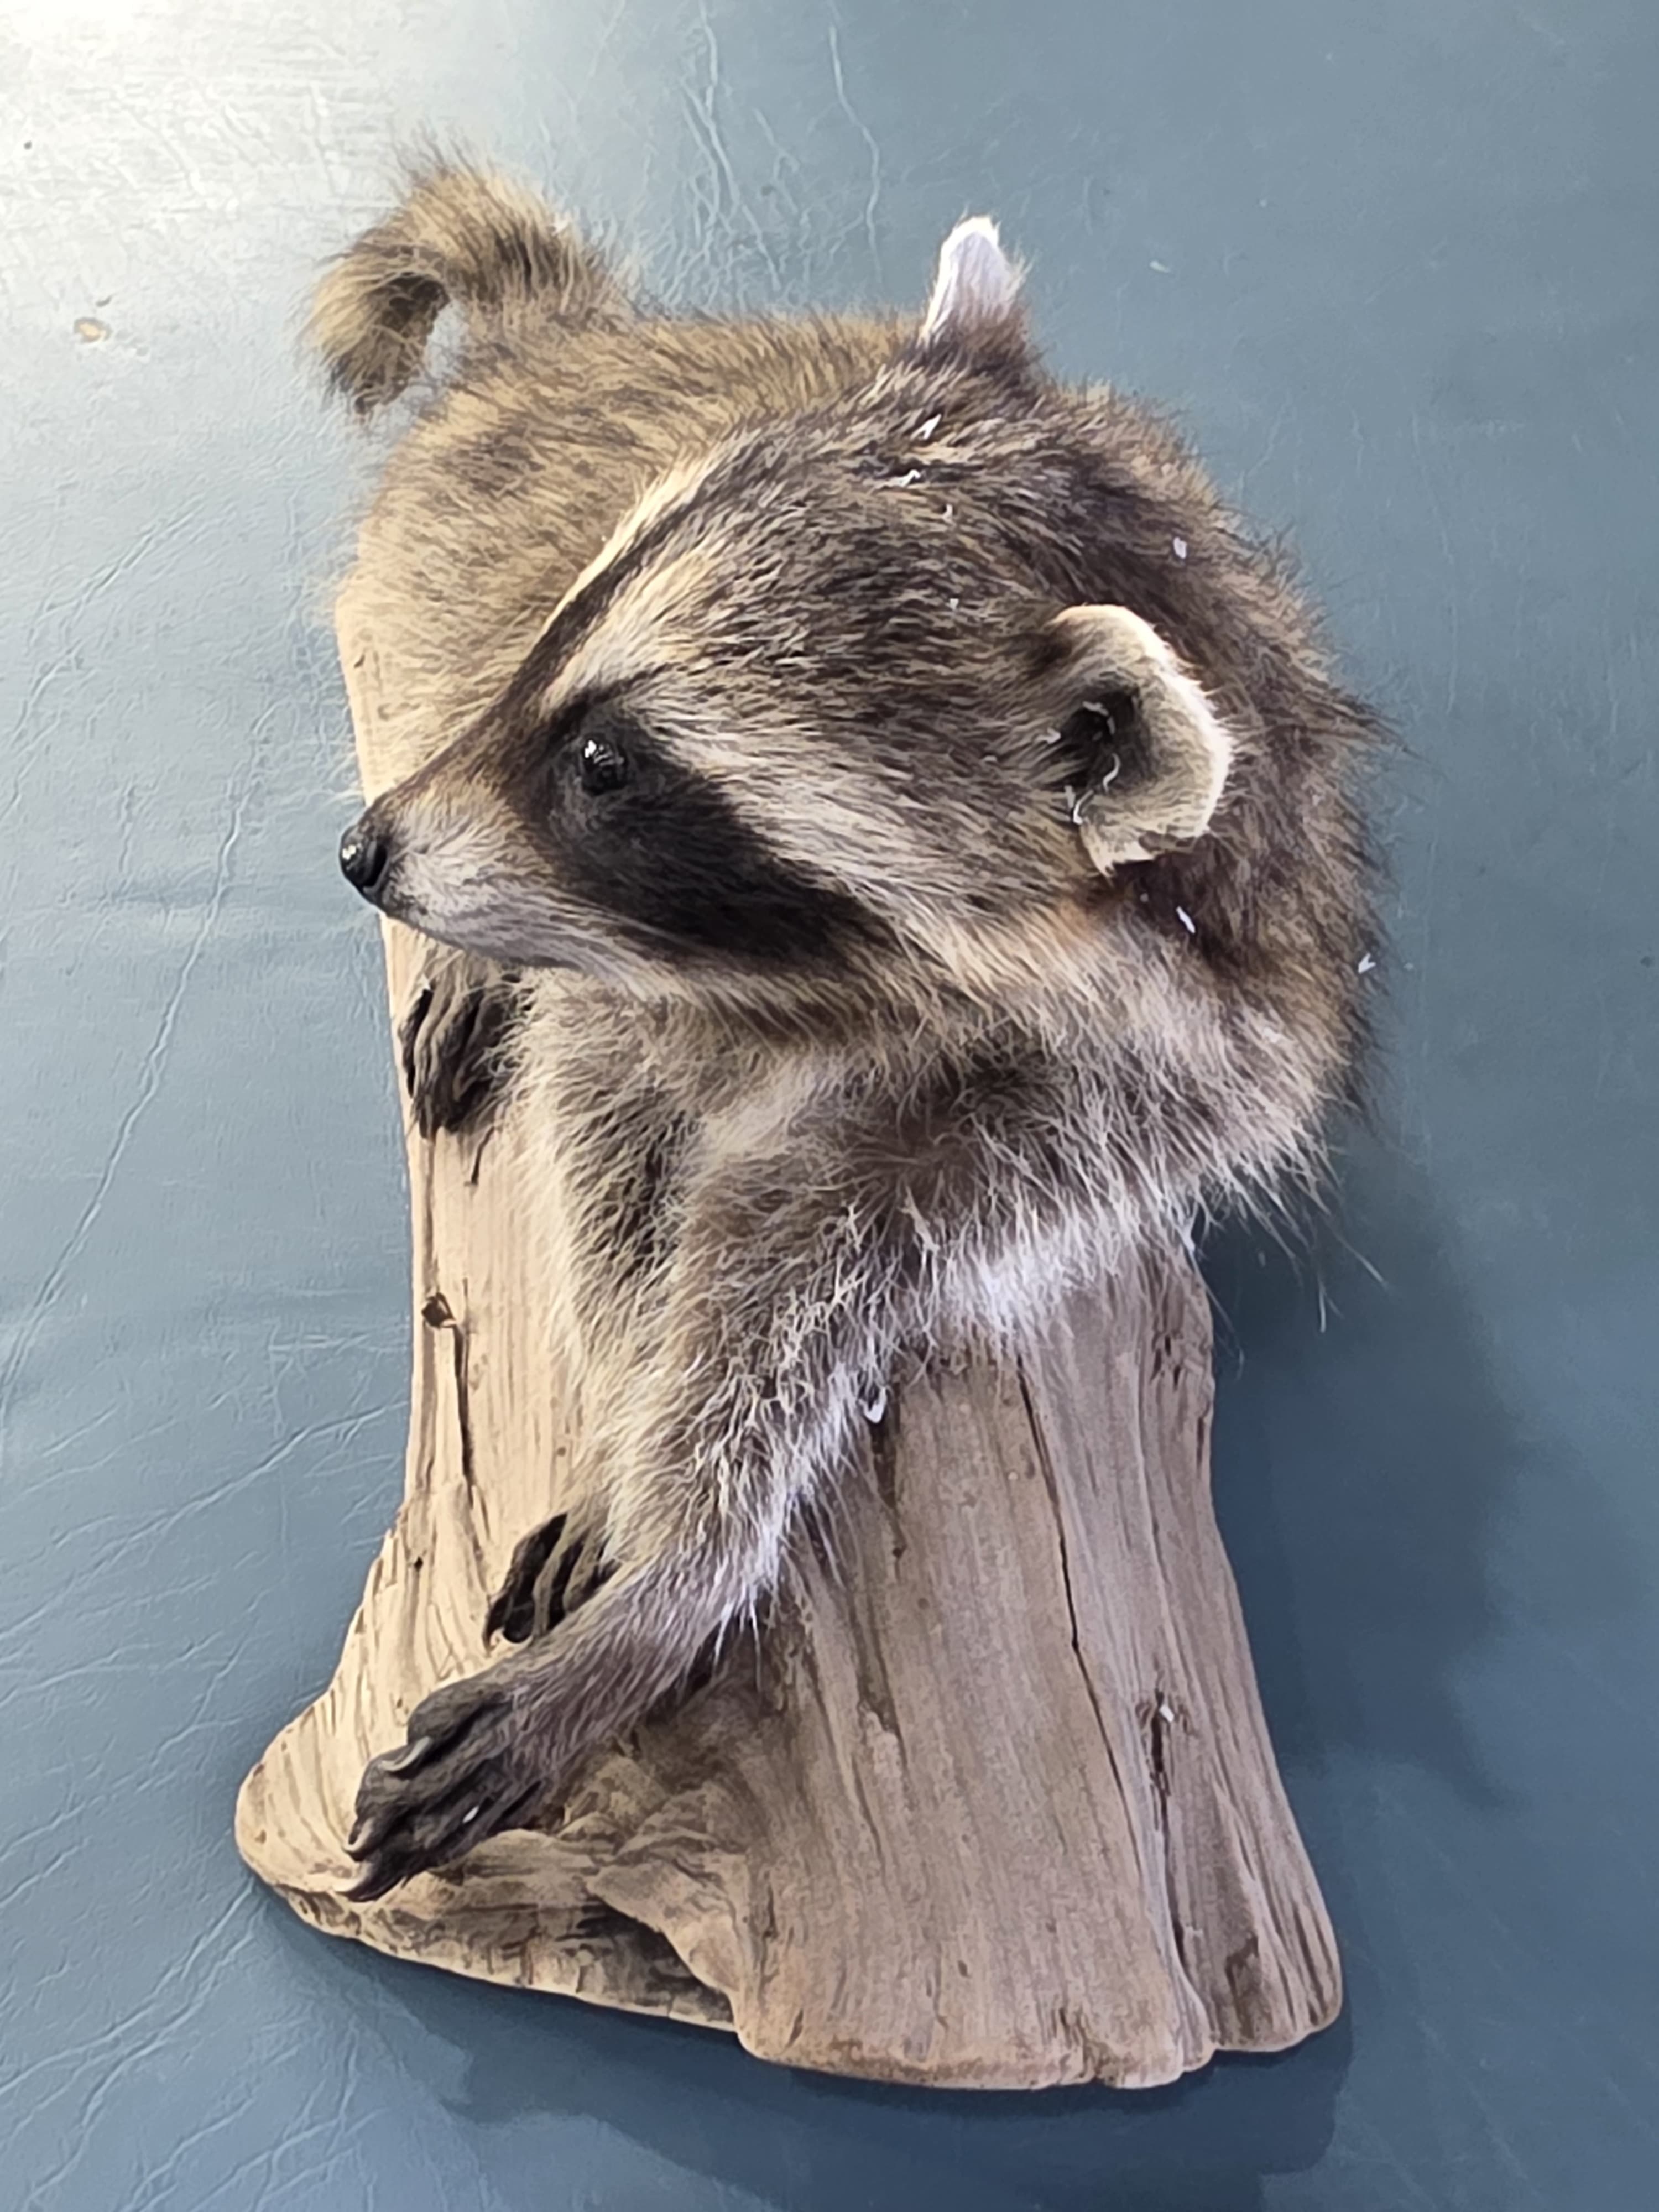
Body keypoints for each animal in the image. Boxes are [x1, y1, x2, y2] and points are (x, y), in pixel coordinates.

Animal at [321, 164, 1376, 1901]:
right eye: (566, 628)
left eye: (609, 765)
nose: (366, 850)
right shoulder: (623, 967)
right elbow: (614, 1156)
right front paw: (623, 1421)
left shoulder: (1123, 1088)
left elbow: (798, 1269)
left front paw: (680, 1554)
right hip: (438, 551)